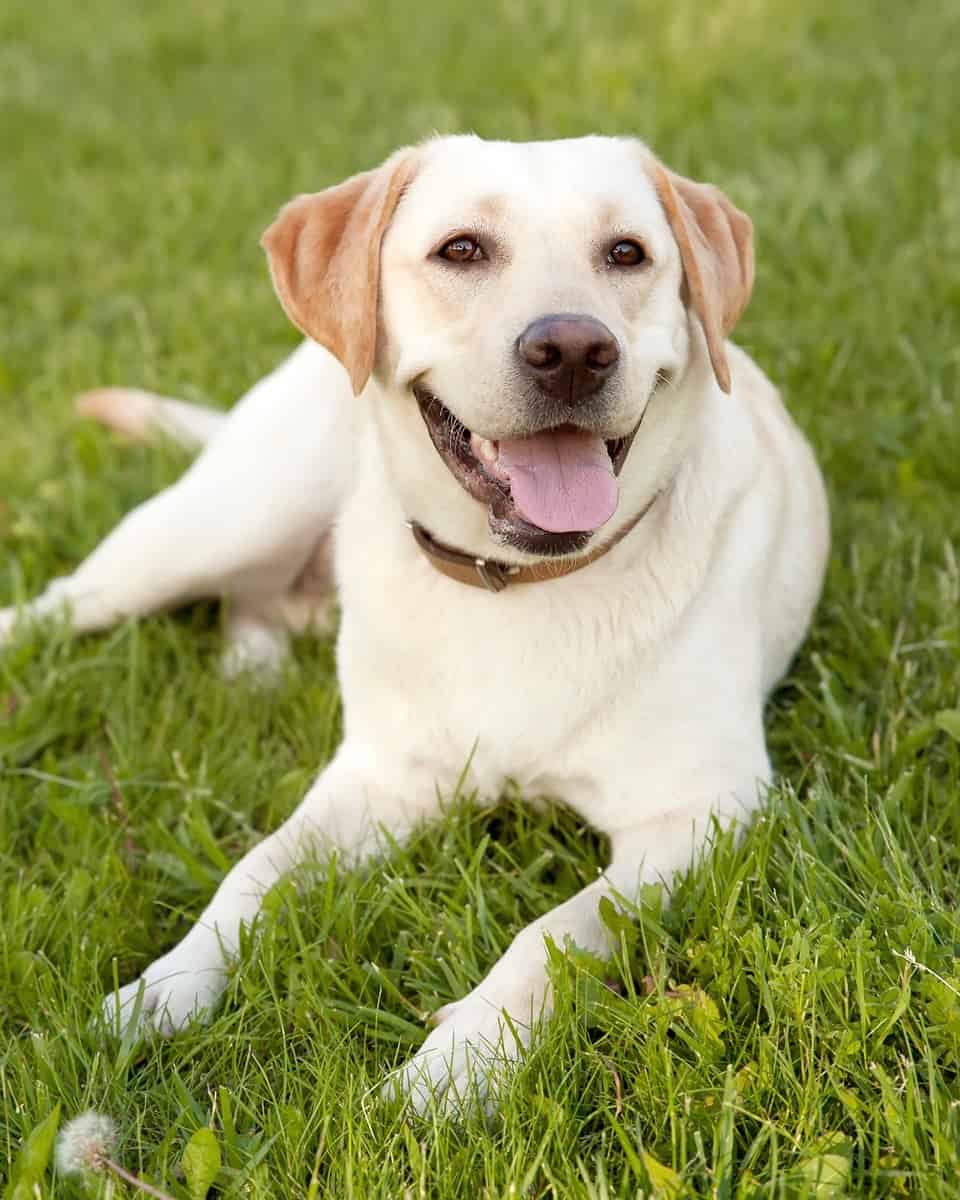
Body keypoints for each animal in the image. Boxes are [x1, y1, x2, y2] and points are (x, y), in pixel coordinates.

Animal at [0, 136, 830, 1108]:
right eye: (461, 250)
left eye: (627, 254)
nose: (573, 349)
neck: (519, 584)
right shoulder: (376, 779)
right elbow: (252, 872)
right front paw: (160, 993)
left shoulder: (703, 811)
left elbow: (554, 933)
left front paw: (455, 1068)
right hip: (222, 519)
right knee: (64, 604)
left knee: (252, 603)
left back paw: (254, 671)